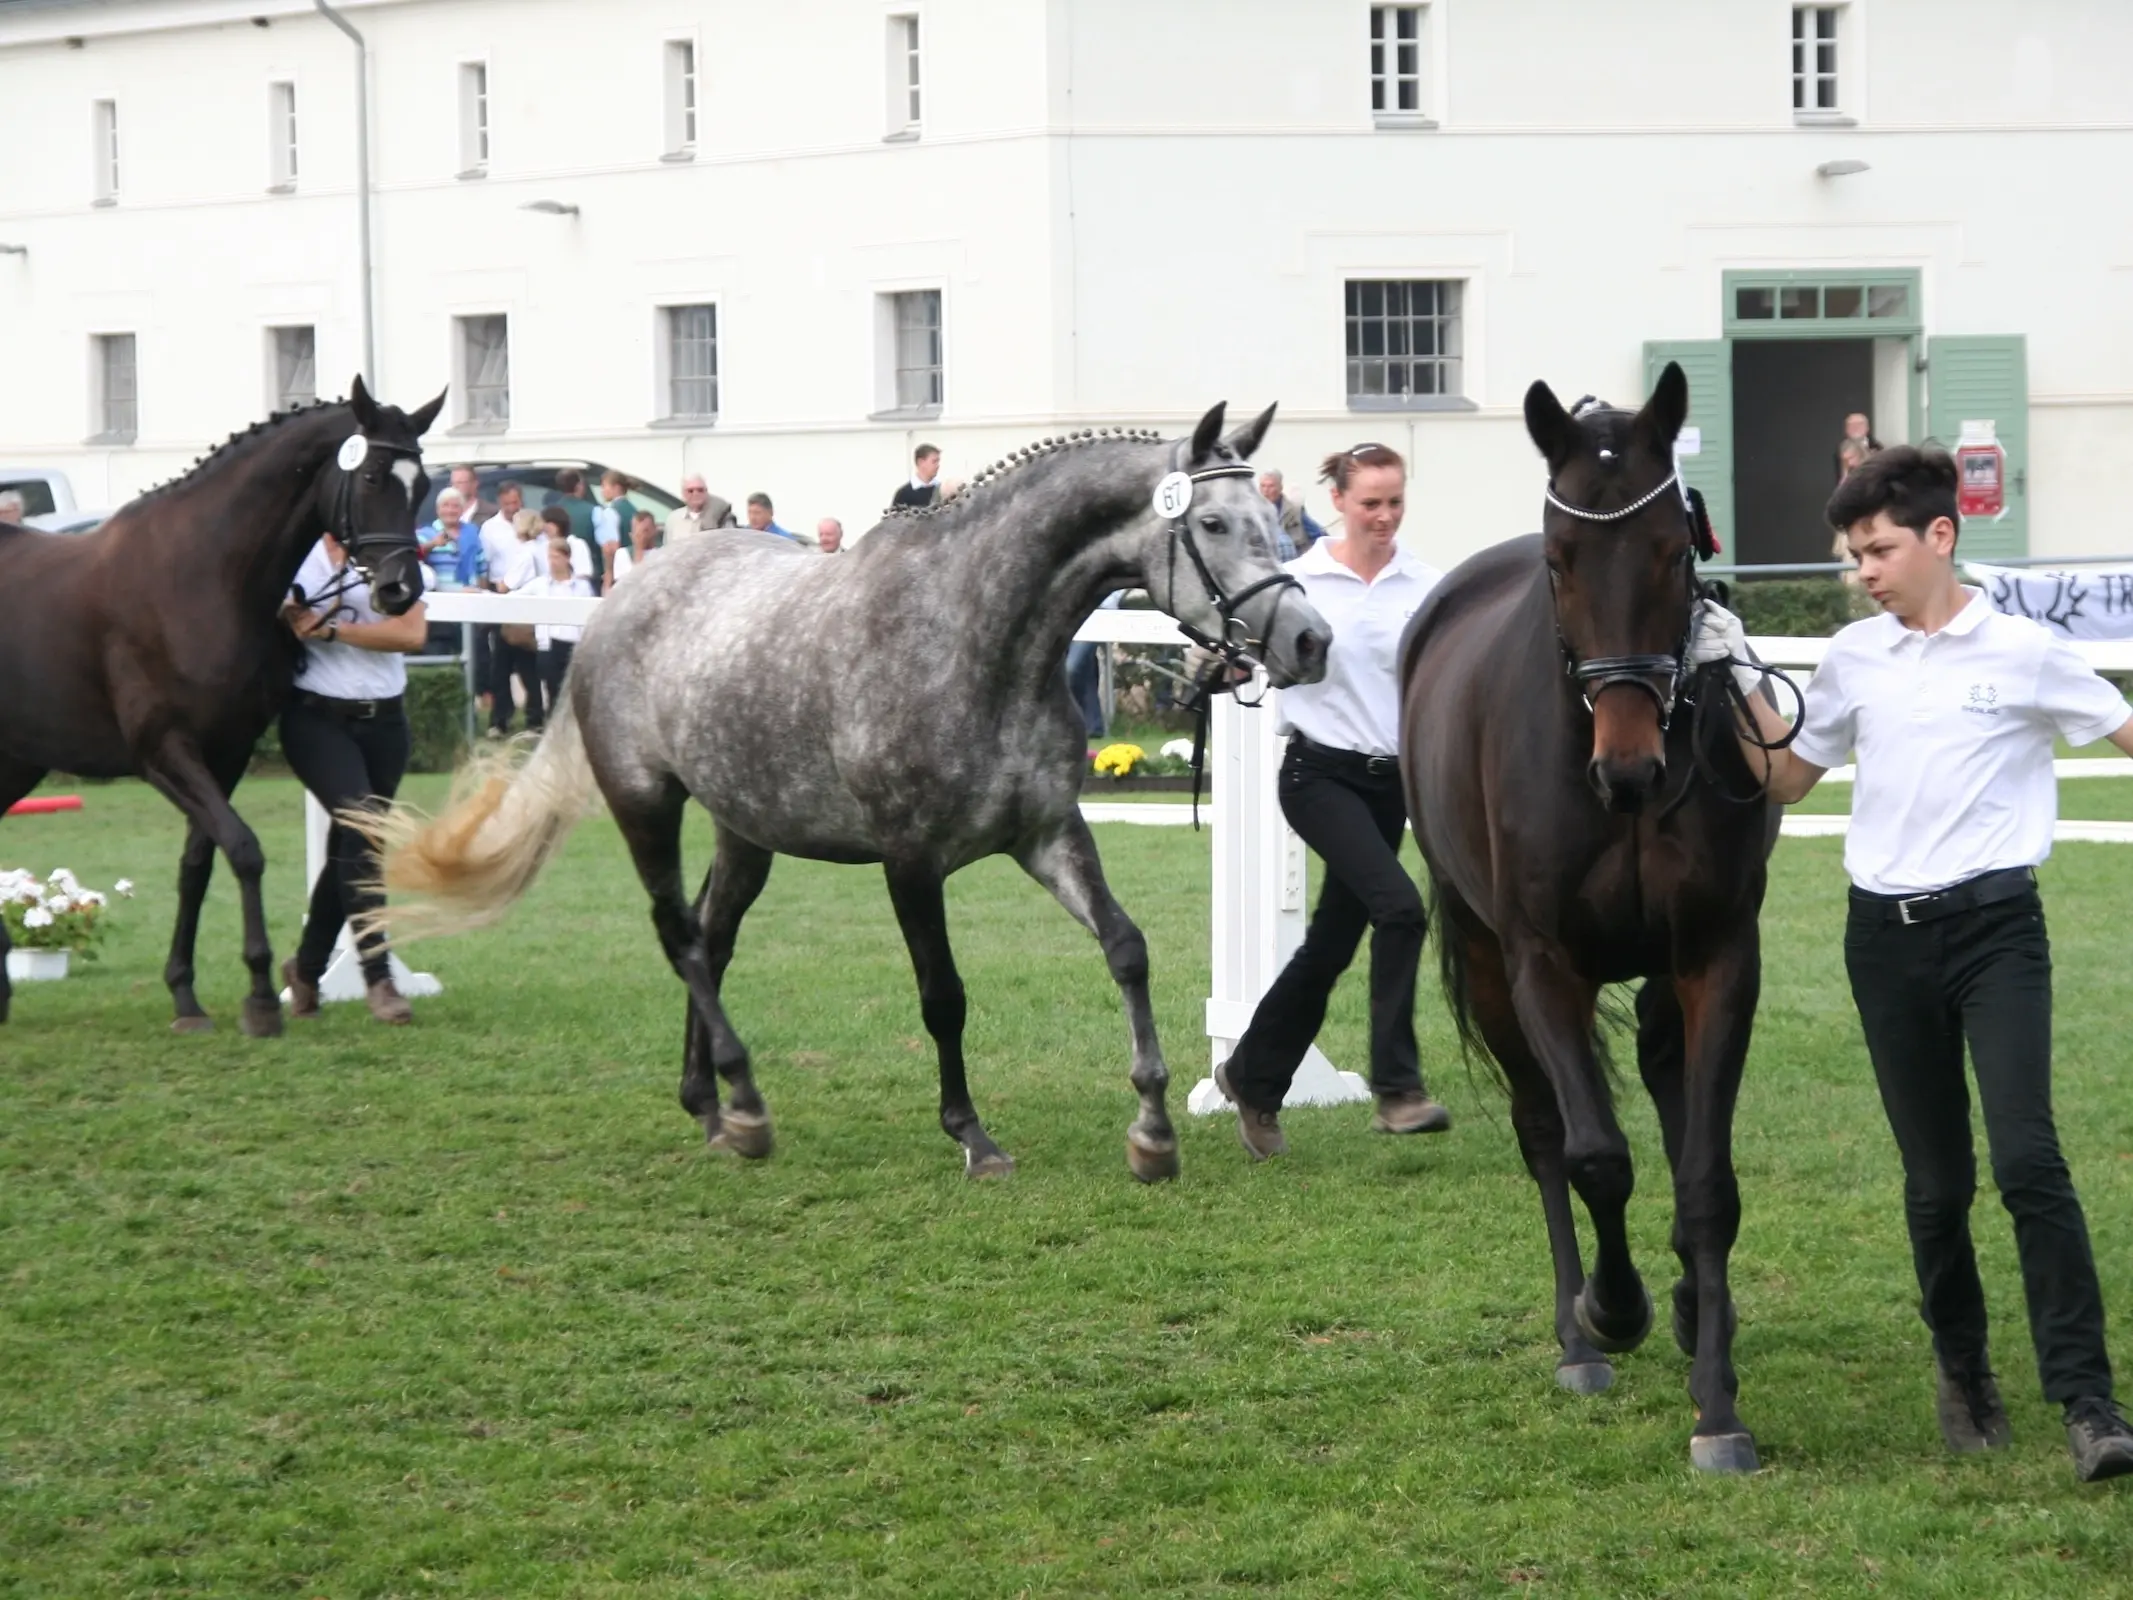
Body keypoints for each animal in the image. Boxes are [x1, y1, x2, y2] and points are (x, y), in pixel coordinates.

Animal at [0, 386, 439, 1041]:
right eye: (371, 475)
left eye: (424, 483)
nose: (400, 591)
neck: (201, 577)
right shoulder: (164, 752)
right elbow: (243, 849)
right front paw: (259, 996)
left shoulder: (227, 750)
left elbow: (198, 863)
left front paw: (186, 995)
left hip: (18, 761)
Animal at [369, 401, 1330, 1177]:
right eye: (1213, 521)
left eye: (1273, 519)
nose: (1308, 640)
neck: (973, 637)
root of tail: (618, 600)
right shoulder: (910, 861)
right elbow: (943, 996)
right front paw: (972, 1137)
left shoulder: (1047, 833)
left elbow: (1126, 949)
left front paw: (1152, 1130)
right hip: (647, 806)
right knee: (681, 938)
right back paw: (746, 1106)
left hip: (744, 830)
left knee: (712, 938)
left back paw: (711, 1106)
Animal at [1399, 366, 1783, 1476]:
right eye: (1561, 562)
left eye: (1675, 551)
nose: (1629, 767)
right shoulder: (1543, 966)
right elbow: (1594, 1158)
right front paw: (1612, 1308)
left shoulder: (1715, 958)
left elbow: (1704, 1178)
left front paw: (1717, 1404)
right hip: (1485, 959)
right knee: (1541, 1130)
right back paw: (1579, 1339)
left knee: (1659, 1075)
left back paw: (1693, 1302)